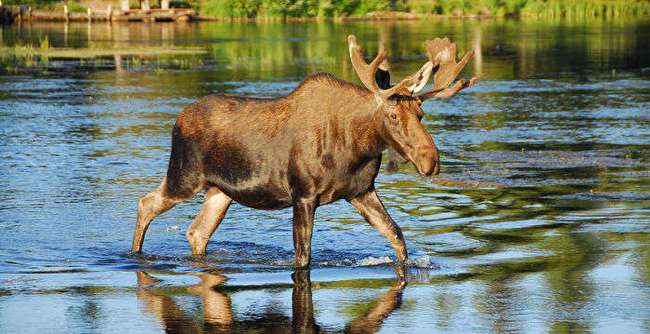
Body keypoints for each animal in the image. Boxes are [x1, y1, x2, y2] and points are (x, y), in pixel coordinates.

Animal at [132, 34, 476, 268]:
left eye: (421, 113)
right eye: (393, 116)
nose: (431, 161)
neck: (356, 147)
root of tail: (178, 118)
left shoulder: (361, 191)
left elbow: (397, 237)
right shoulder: (303, 195)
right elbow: (303, 256)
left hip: (220, 191)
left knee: (197, 232)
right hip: (185, 176)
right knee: (146, 202)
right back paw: (135, 254)